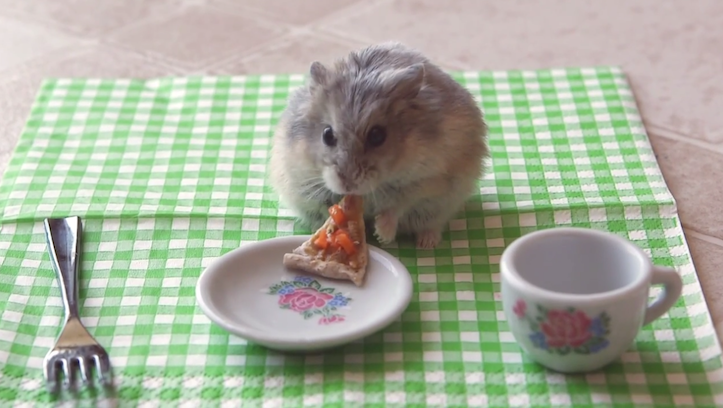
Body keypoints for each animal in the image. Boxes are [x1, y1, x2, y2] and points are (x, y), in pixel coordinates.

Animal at [269, 41, 489, 249]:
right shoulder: (302, 181)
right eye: (327, 135)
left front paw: (383, 235)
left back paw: (426, 244)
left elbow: (398, 206)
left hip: (441, 205)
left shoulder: (429, 181)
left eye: (377, 136)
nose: (347, 185)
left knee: (431, 225)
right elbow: (326, 206)